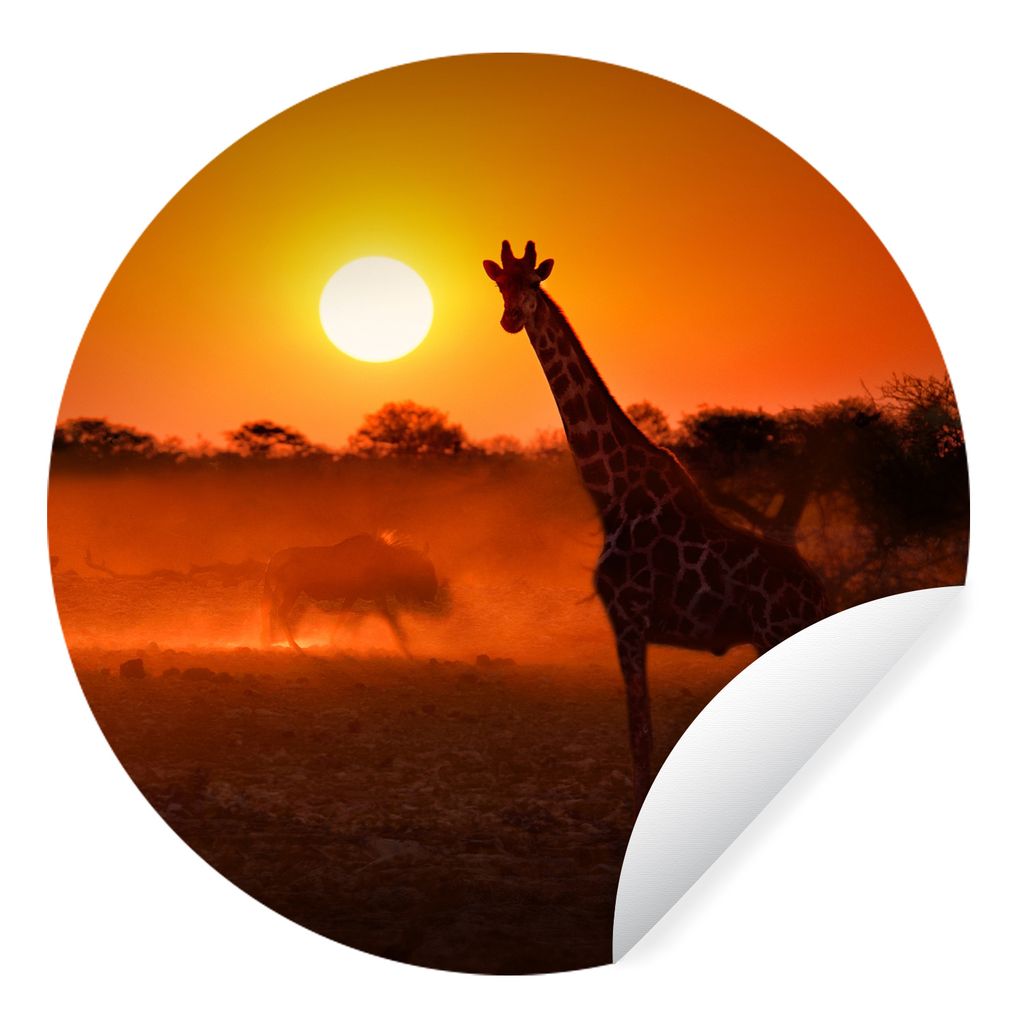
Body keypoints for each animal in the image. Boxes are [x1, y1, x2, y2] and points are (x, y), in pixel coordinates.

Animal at [483, 241, 829, 814]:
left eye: (533, 283)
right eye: (500, 285)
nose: (512, 319)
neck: (611, 494)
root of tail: (821, 592)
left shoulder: (627, 617)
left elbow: (640, 735)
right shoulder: (631, 623)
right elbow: (640, 734)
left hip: (775, 632)